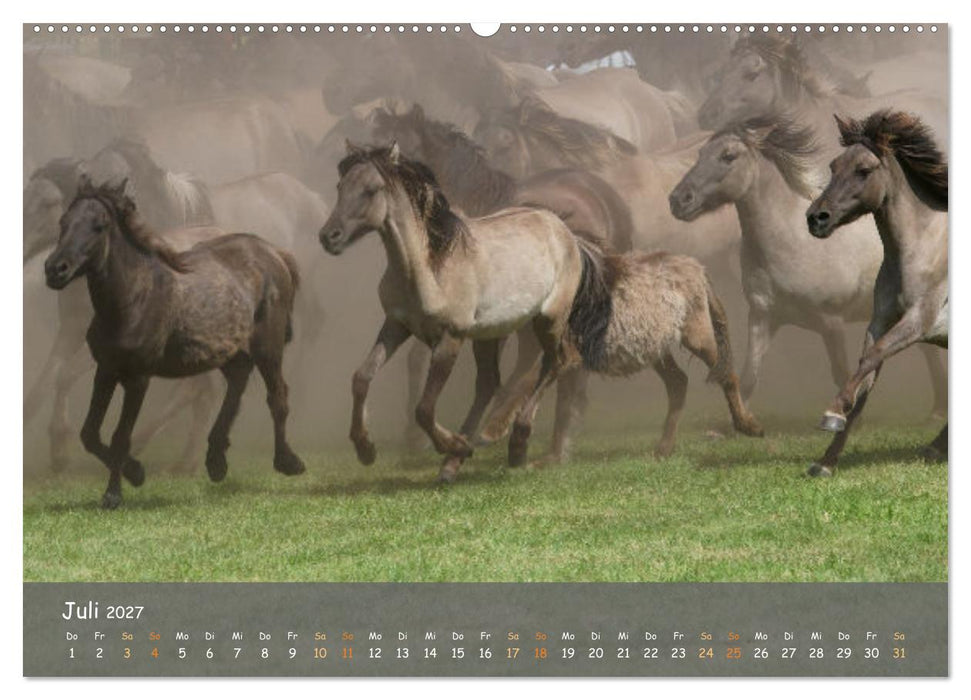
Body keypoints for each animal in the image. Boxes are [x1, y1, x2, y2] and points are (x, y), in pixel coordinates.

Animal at [43, 177, 305, 508]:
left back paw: (287, 461)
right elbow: (89, 433)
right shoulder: (105, 369)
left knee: (277, 395)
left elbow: (120, 436)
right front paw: (135, 472)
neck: (133, 298)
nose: (55, 269)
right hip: (228, 350)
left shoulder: (138, 377)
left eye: (99, 226)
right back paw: (215, 461)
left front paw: (114, 493)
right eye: (63, 222)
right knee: (236, 383)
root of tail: (275, 252)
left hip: (267, 346)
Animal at [318, 142, 609, 482]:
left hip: (548, 321)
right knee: (489, 383)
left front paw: (452, 444)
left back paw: (513, 445)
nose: (329, 237)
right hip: (489, 334)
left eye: (371, 190)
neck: (429, 268)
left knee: (557, 361)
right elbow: (361, 377)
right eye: (340, 187)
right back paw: (454, 462)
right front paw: (365, 449)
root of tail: (567, 234)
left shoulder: (450, 338)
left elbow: (424, 409)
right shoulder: (396, 326)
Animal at [668, 117, 947, 415]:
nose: (678, 200)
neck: (789, 243)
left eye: (728, 156)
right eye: (700, 154)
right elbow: (749, 378)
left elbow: (843, 373)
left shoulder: (831, 323)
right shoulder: (763, 317)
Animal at [805, 111, 947, 475]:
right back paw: (936, 447)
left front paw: (831, 413)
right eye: (834, 166)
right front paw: (826, 461)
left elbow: (872, 357)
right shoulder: (881, 322)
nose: (816, 218)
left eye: (864, 170)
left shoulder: (918, 321)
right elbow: (865, 377)